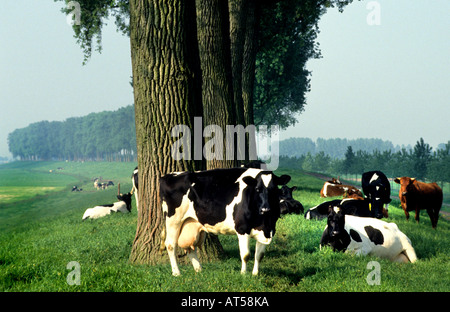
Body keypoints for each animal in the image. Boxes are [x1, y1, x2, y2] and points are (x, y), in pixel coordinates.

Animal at [160, 168, 290, 276]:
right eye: (257, 189)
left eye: (274, 190)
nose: (265, 209)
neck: (264, 221)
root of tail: (168, 175)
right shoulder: (242, 228)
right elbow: (246, 255)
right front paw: (243, 274)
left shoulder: (267, 230)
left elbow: (259, 255)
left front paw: (255, 275)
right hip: (173, 220)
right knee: (171, 245)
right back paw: (176, 273)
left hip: (191, 223)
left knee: (191, 247)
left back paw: (199, 270)